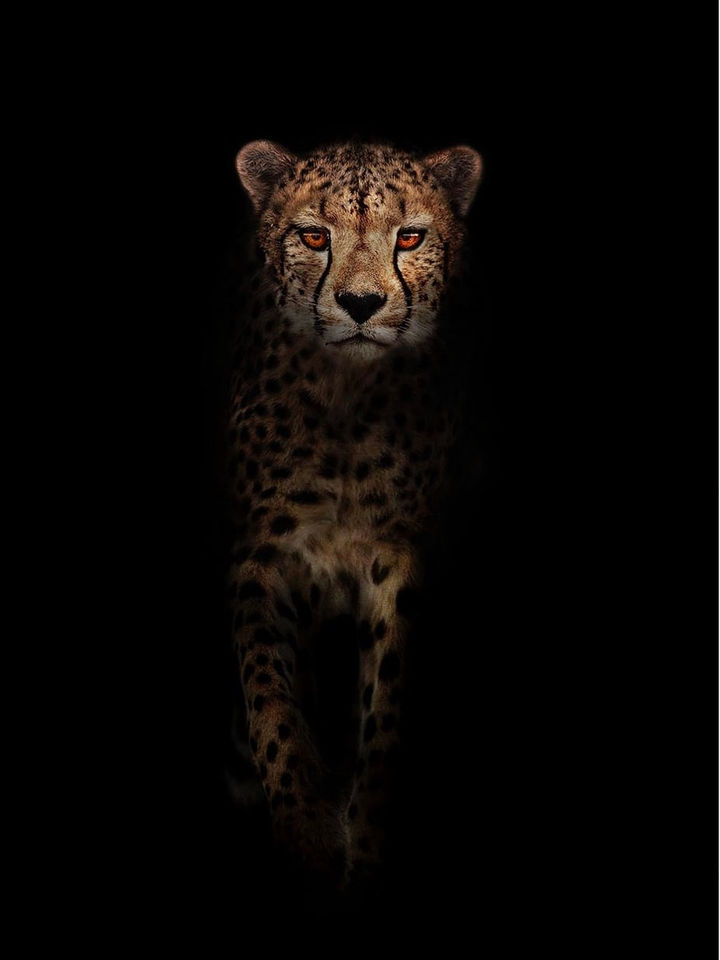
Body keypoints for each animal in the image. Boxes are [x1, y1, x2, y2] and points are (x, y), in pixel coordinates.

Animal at [227, 139, 483, 885]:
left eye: (410, 237)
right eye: (316, 237)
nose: (362, 304)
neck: (345, 396)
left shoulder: (398, 561)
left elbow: (387, 705)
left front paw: (368, 844)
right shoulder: (264, 556)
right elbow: (272, 695)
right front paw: (307, 833)